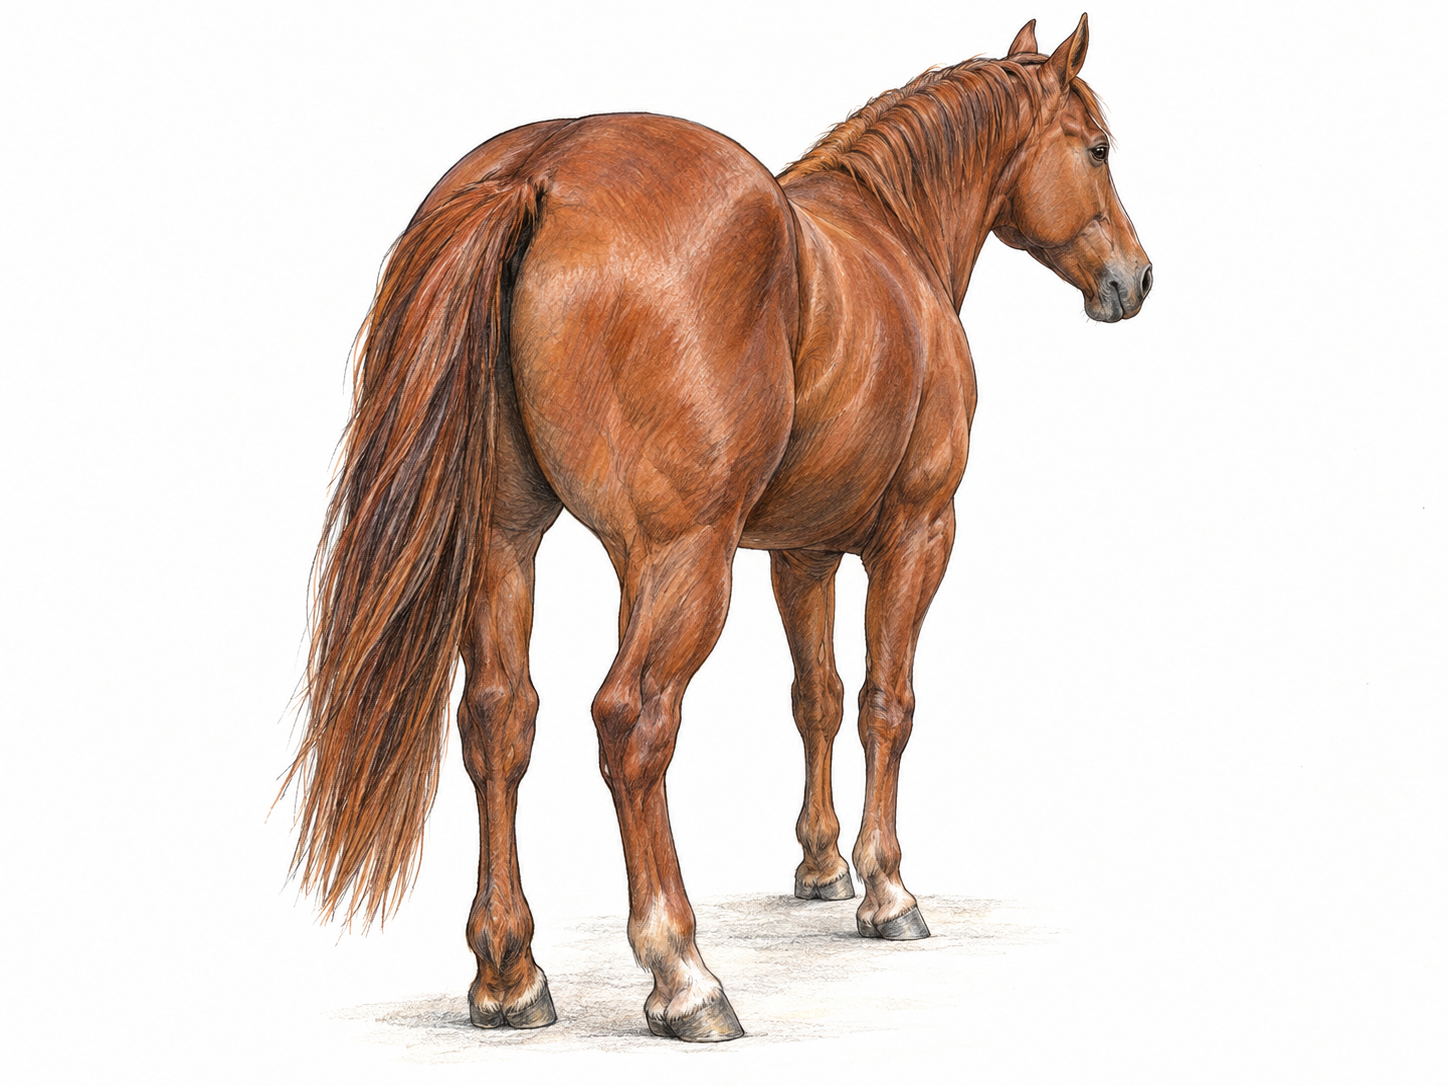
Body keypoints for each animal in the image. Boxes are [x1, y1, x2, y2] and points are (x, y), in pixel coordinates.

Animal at [283, 14, 1151, 1043]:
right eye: (1096, 148)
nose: (1135, 277)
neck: (892, 236)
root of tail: (540, 170)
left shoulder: (799, 555)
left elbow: (817, 697)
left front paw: (821, 867)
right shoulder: (918, 533)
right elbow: (886, 704)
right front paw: (886, 890)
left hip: (505, 546)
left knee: (499, 719)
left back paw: (509, 973)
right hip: (682, 561)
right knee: (633, 724)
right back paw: (683, 974)